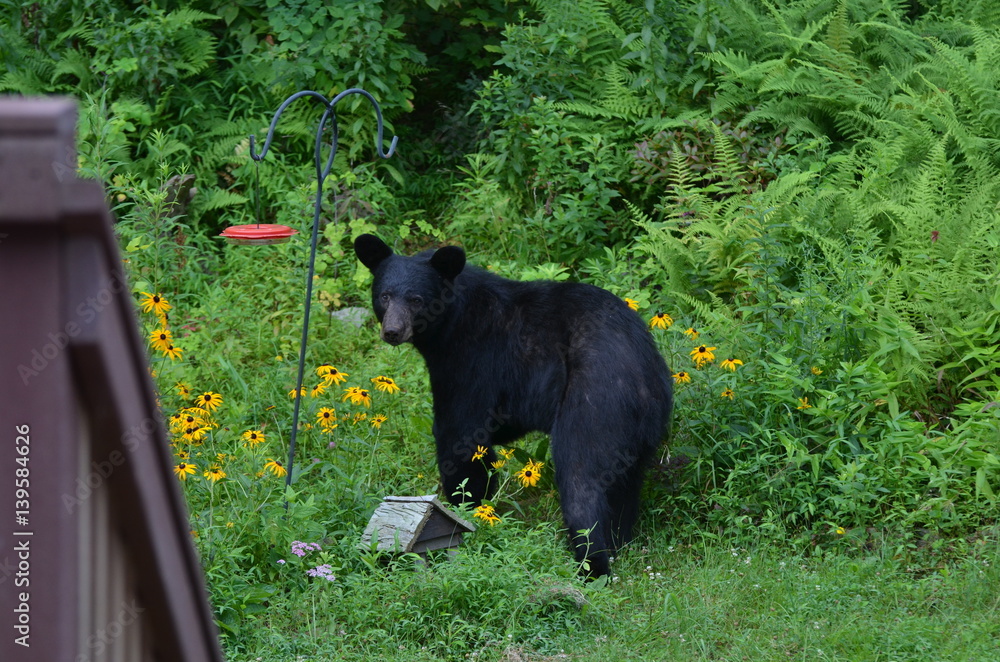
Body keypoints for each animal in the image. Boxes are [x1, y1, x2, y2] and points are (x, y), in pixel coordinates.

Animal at [354, 234, 673, 577]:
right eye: (385, 296)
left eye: (416, 299)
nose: (392, 331)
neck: (451, 324)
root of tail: (642, 373)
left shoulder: (473, 361)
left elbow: (460, 435)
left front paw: (465, 508)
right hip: (641, 431)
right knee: (625, 485)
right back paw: (619, 543)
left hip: (594, 402)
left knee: (581, 479)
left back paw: (591, 564)